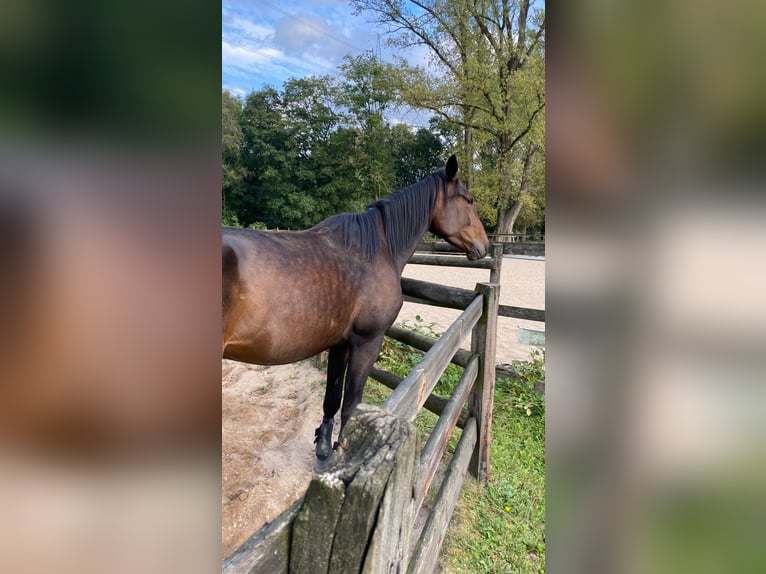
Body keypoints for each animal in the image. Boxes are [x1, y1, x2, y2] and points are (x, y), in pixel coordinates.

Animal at [222, 155, 488, 462]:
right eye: (470, 199)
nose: (485, 245)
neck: (376, 250)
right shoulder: (367, 341)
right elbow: (351, 404)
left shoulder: (340, 343)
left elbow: (332, 398)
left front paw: (324, 448)